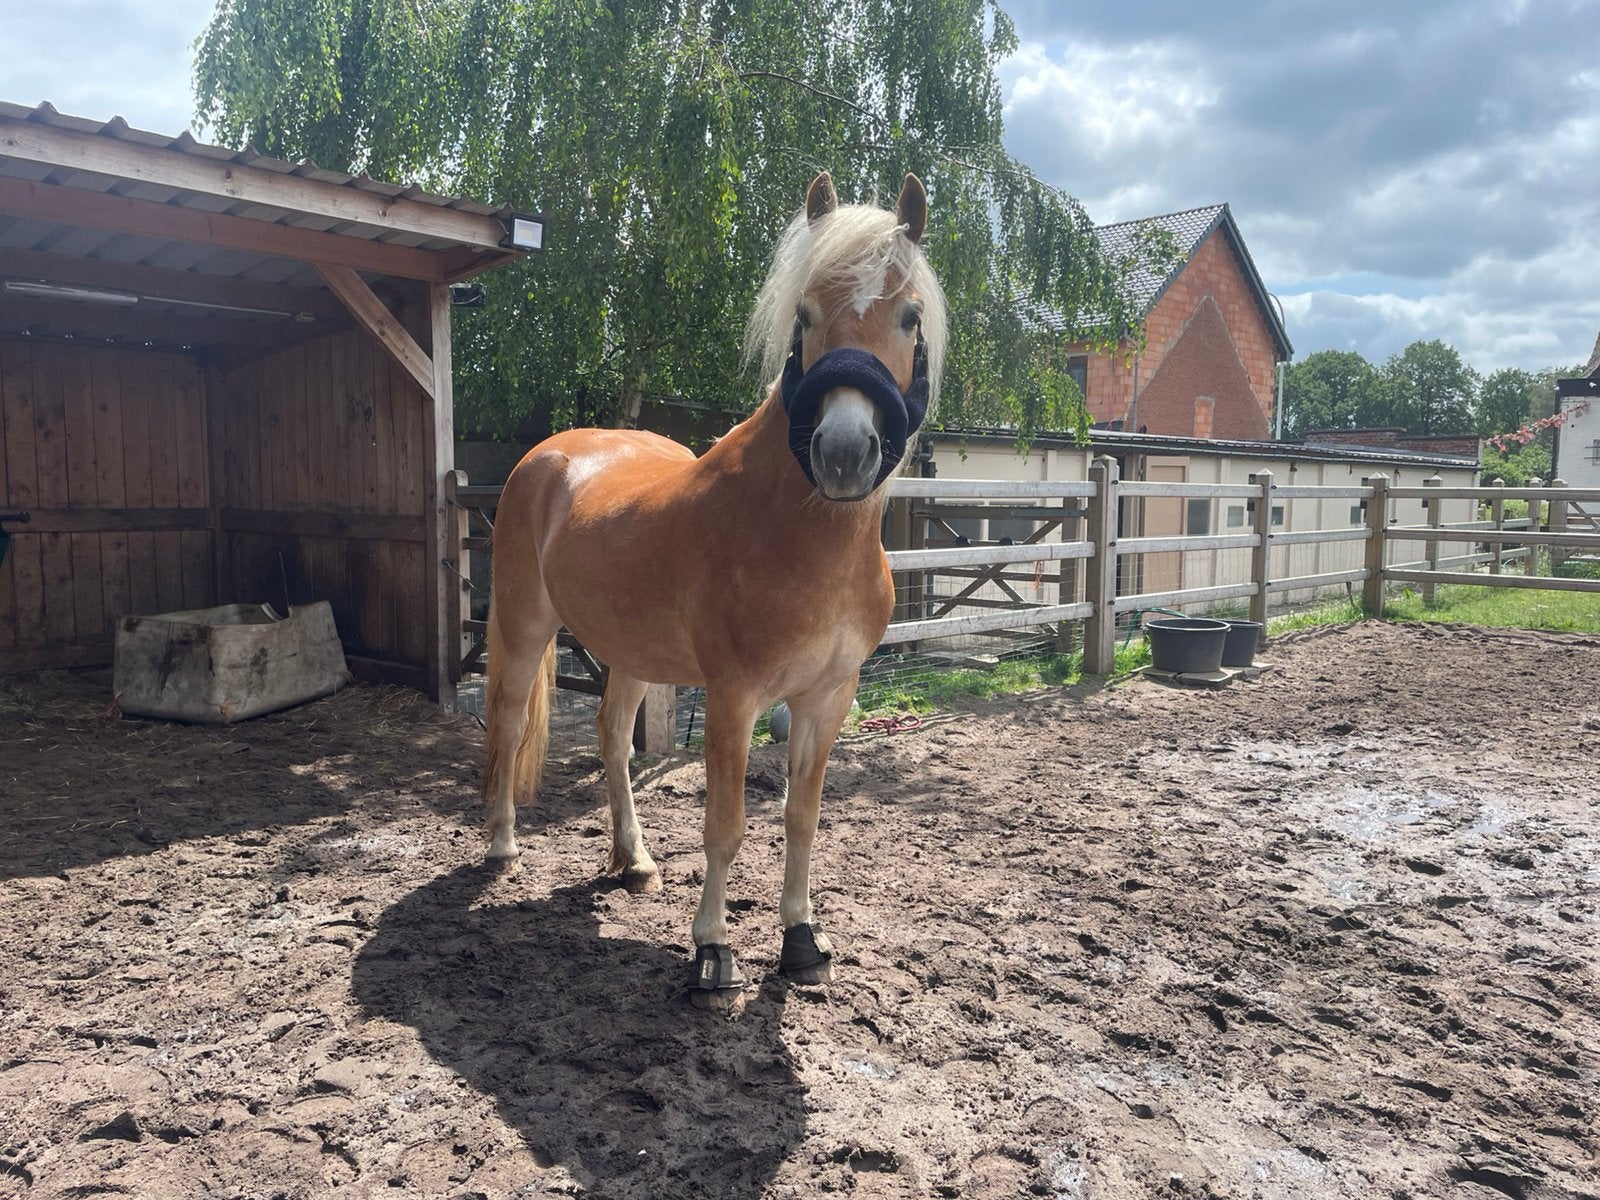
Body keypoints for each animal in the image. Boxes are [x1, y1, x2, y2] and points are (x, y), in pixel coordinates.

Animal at [481, 171, 947, 1010]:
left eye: (908, 314)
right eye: (804, 314)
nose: (843, 453)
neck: (799, 530)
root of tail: (552, 453)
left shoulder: (828, 697)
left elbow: (802, 817)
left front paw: (802, 941)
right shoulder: (734, 698)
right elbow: (726, 826)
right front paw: (711, 951)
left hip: (632, 651)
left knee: (611, 736)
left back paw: (632, 862)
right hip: (525, 626)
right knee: (506, 719)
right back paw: (502, 847)